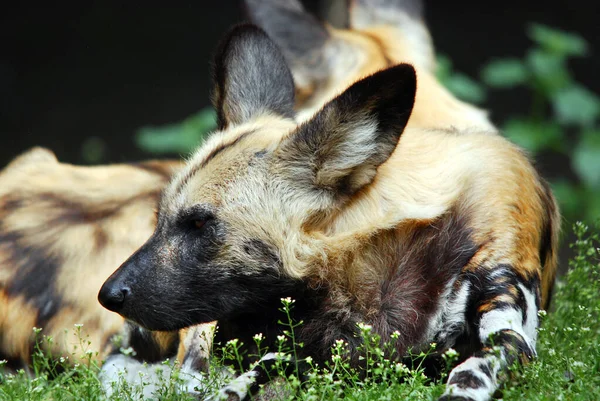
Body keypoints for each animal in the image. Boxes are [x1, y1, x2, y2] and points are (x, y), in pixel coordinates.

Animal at [97, 21, 556, 401]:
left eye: (198, 223)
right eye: (160, 218)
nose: (108, 295)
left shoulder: (510, 333)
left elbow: (468, 375)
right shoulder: (300, 349)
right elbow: (248, 376)